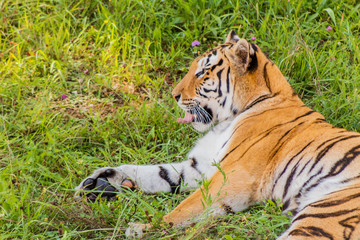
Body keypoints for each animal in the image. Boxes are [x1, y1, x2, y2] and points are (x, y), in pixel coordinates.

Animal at [75, 31, 360, 239]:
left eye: (202, 72)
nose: (174, 95)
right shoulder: (200, 166)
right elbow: (155, 173)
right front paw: (101, 180)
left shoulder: (233, 175)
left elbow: (186, 206)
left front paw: (145, 228)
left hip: (326, 214)